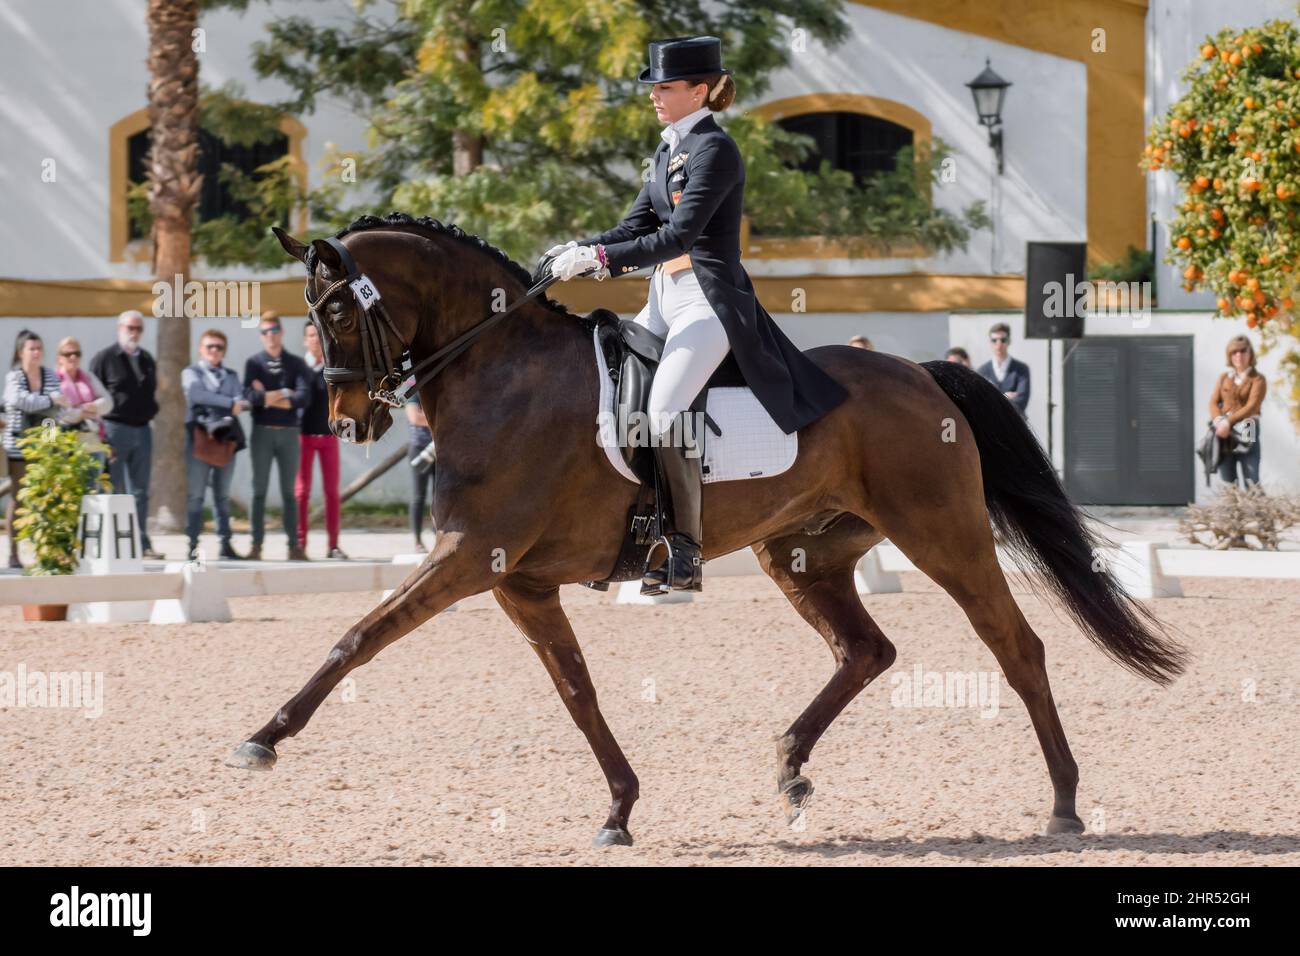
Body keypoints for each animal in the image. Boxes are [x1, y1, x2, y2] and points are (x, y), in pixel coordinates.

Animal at [226, 214, 1190, 842]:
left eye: (337, 310)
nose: (348, 421)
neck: (503, 371)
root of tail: (921, 372)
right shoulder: (519, 580)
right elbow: (577, 691)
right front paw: (619, 808)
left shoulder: (470, 558)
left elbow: (359, 636)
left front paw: (262, 739)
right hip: (798, 551)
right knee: (866, 650)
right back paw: (791, 765)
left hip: (942, 535)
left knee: (1015, 646)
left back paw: (1064, 805)